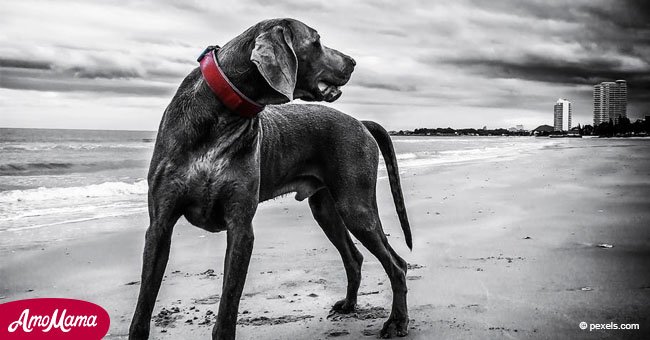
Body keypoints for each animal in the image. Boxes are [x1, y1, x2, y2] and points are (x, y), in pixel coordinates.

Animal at [128, 19, 410, 340]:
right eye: (316, 41)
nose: (352, 62)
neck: (222, 114)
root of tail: (360, 123)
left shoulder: (240, 228)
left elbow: (228, 306)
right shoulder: (160, 225)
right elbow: (143, 306)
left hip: (356, 206)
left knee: (397, 264)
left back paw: (397, 322)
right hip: (326, 209)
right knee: (355, 257)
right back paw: (349, 305)